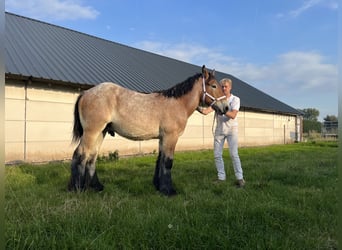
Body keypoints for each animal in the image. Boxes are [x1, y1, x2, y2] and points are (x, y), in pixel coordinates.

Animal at [69, 65, 230, 196]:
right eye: (213, 86)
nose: (226, 108)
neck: (177, 103)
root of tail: (86, 93)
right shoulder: (170, 137)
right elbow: (168, 162)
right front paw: (169, 191)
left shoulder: (163, 138)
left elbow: (160, 160)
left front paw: (159, 186)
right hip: (92, 132)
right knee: (80, 154)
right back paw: (77, 188)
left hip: (100, 133)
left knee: (92, 156)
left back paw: (96, 187)